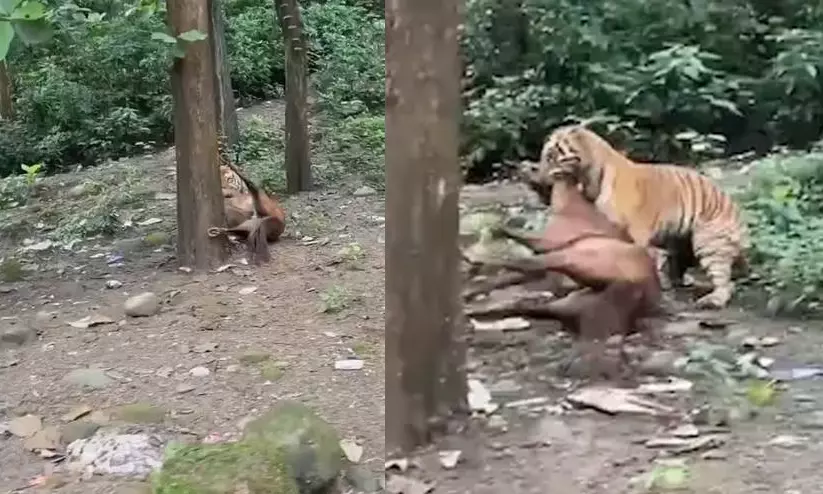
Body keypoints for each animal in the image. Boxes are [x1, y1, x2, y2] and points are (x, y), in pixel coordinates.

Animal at [537, 124, 749, 310]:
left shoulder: (632, 235)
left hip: (709, 242)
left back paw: (713, 300)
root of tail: (733, 206)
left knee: (724, 280)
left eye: (551, 156)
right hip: (681, 242)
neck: (588, 180)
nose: (540, 178)